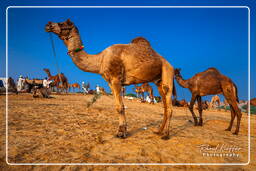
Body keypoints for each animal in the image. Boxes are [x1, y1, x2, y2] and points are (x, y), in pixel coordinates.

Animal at [45, 18, 176, 139]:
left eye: (62, 23)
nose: (48, 24)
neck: (100, 60)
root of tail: (170, 65)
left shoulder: (116, 79)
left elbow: (120, 107)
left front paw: (121, 133)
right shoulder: (110, 82)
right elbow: (118, 106)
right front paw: (122, 130)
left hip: (167, 72)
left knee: (169, 103)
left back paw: (165, 134)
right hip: (158, 80)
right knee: (165, 106)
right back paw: (158, 131)